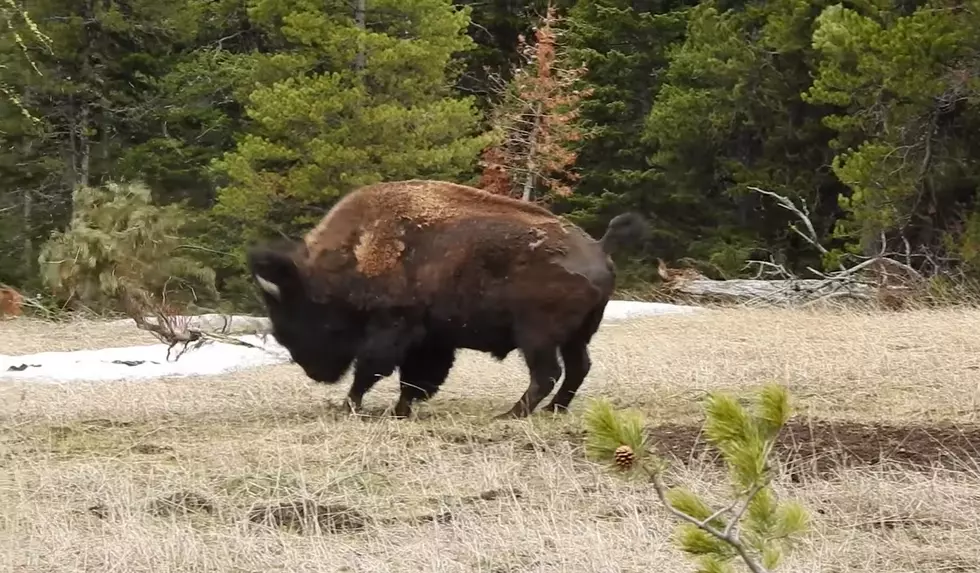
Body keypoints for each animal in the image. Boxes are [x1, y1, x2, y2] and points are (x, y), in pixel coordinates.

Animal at [245, 181, 648, 418]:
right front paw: (400, 410)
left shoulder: (394, 329)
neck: (360, 248)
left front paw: (350, 406)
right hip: (576, 336)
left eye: (307, 317)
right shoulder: (431, 340)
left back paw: (511, 414)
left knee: (547, 373)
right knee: (577, 368)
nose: (314, 372)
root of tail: (599, 247)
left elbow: (373, 369)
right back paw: (553, 410)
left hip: (537, 335)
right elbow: (415, 379)